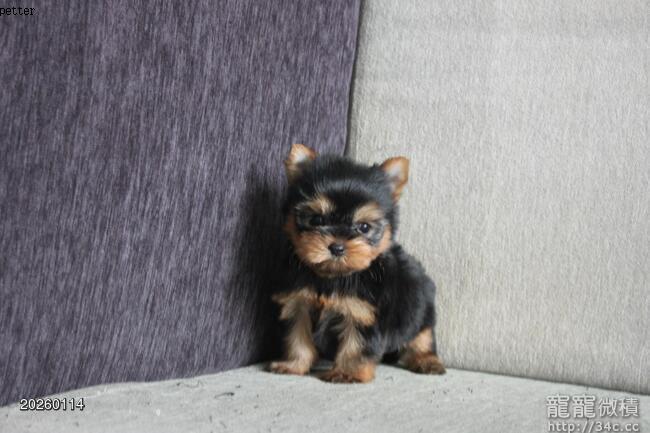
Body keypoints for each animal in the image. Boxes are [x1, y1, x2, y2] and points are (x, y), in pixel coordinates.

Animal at [269, 144, 445, 383]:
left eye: (364, 227)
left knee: (422, 335)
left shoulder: (362, 313)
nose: (337, 247)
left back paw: (427, 360)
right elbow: (297, 337)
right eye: (317, 220)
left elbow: (355, 345)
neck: (333, 276)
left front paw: (347, 373)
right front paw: (293, 365)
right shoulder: (298, 303)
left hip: (419, 308)